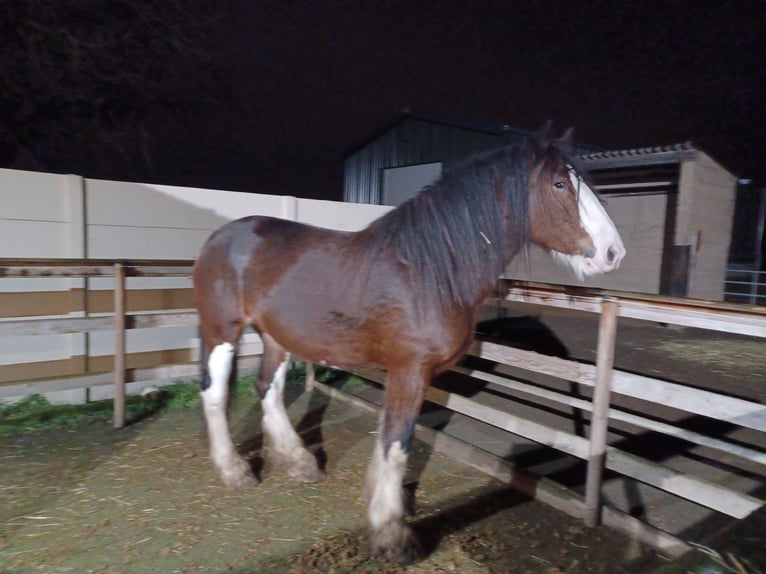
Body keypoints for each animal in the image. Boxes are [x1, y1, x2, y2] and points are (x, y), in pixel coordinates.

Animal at [191, 126, 625, 563]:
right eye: (559, 184)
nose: (613, 252)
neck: (429, 271)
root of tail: (220, 237)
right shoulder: (410, 370)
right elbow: (399, 443)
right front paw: (392, 534)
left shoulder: (406, 373)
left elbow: (388, 435)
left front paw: (381, 502)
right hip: (222, 331)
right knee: (214, 393)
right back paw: (234, 470)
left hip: (275, 335)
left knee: (269, 388)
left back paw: (299, 462)